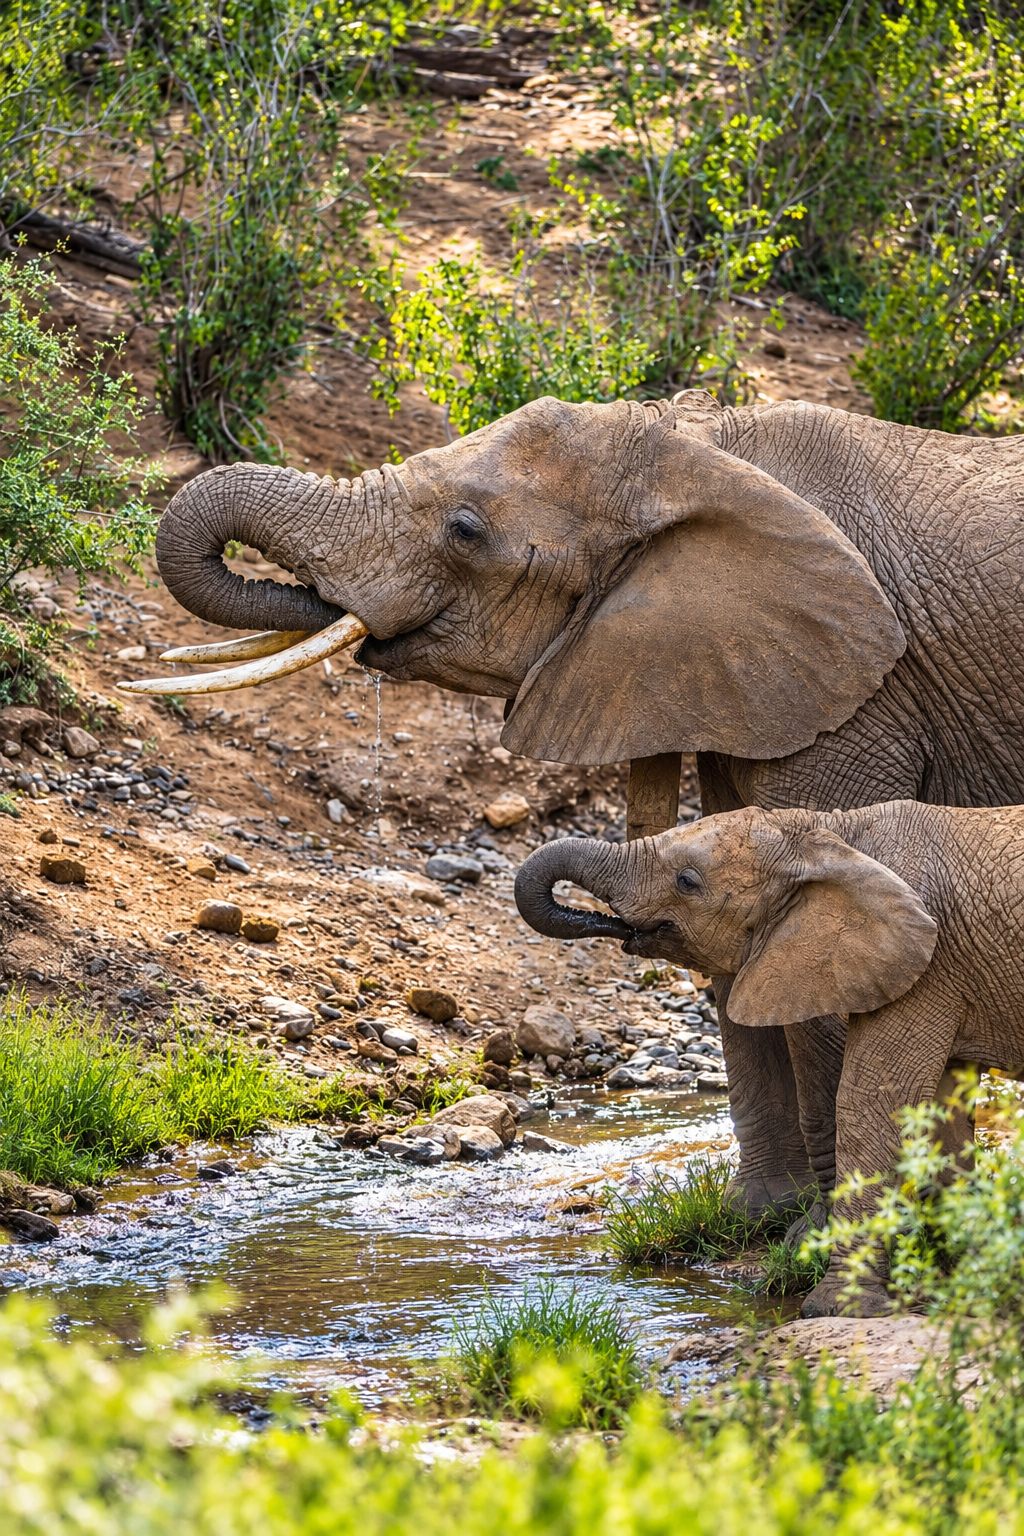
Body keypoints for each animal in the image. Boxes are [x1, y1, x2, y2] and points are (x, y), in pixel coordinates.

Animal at [124, 388, 1024, 1222]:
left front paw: (809, 1238)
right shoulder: (743, 678)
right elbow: (736, 950)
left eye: (464, 529)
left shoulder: (863, 691)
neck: (695, 447)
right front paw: (760, 1218)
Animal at [513, 799, 1024, 1316]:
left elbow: (874, 1102)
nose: (613, 925)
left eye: (687, 881)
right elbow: (941, 1113)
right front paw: (965, 1272)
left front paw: (835, 1309)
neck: (829, 834)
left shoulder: (931, 965)